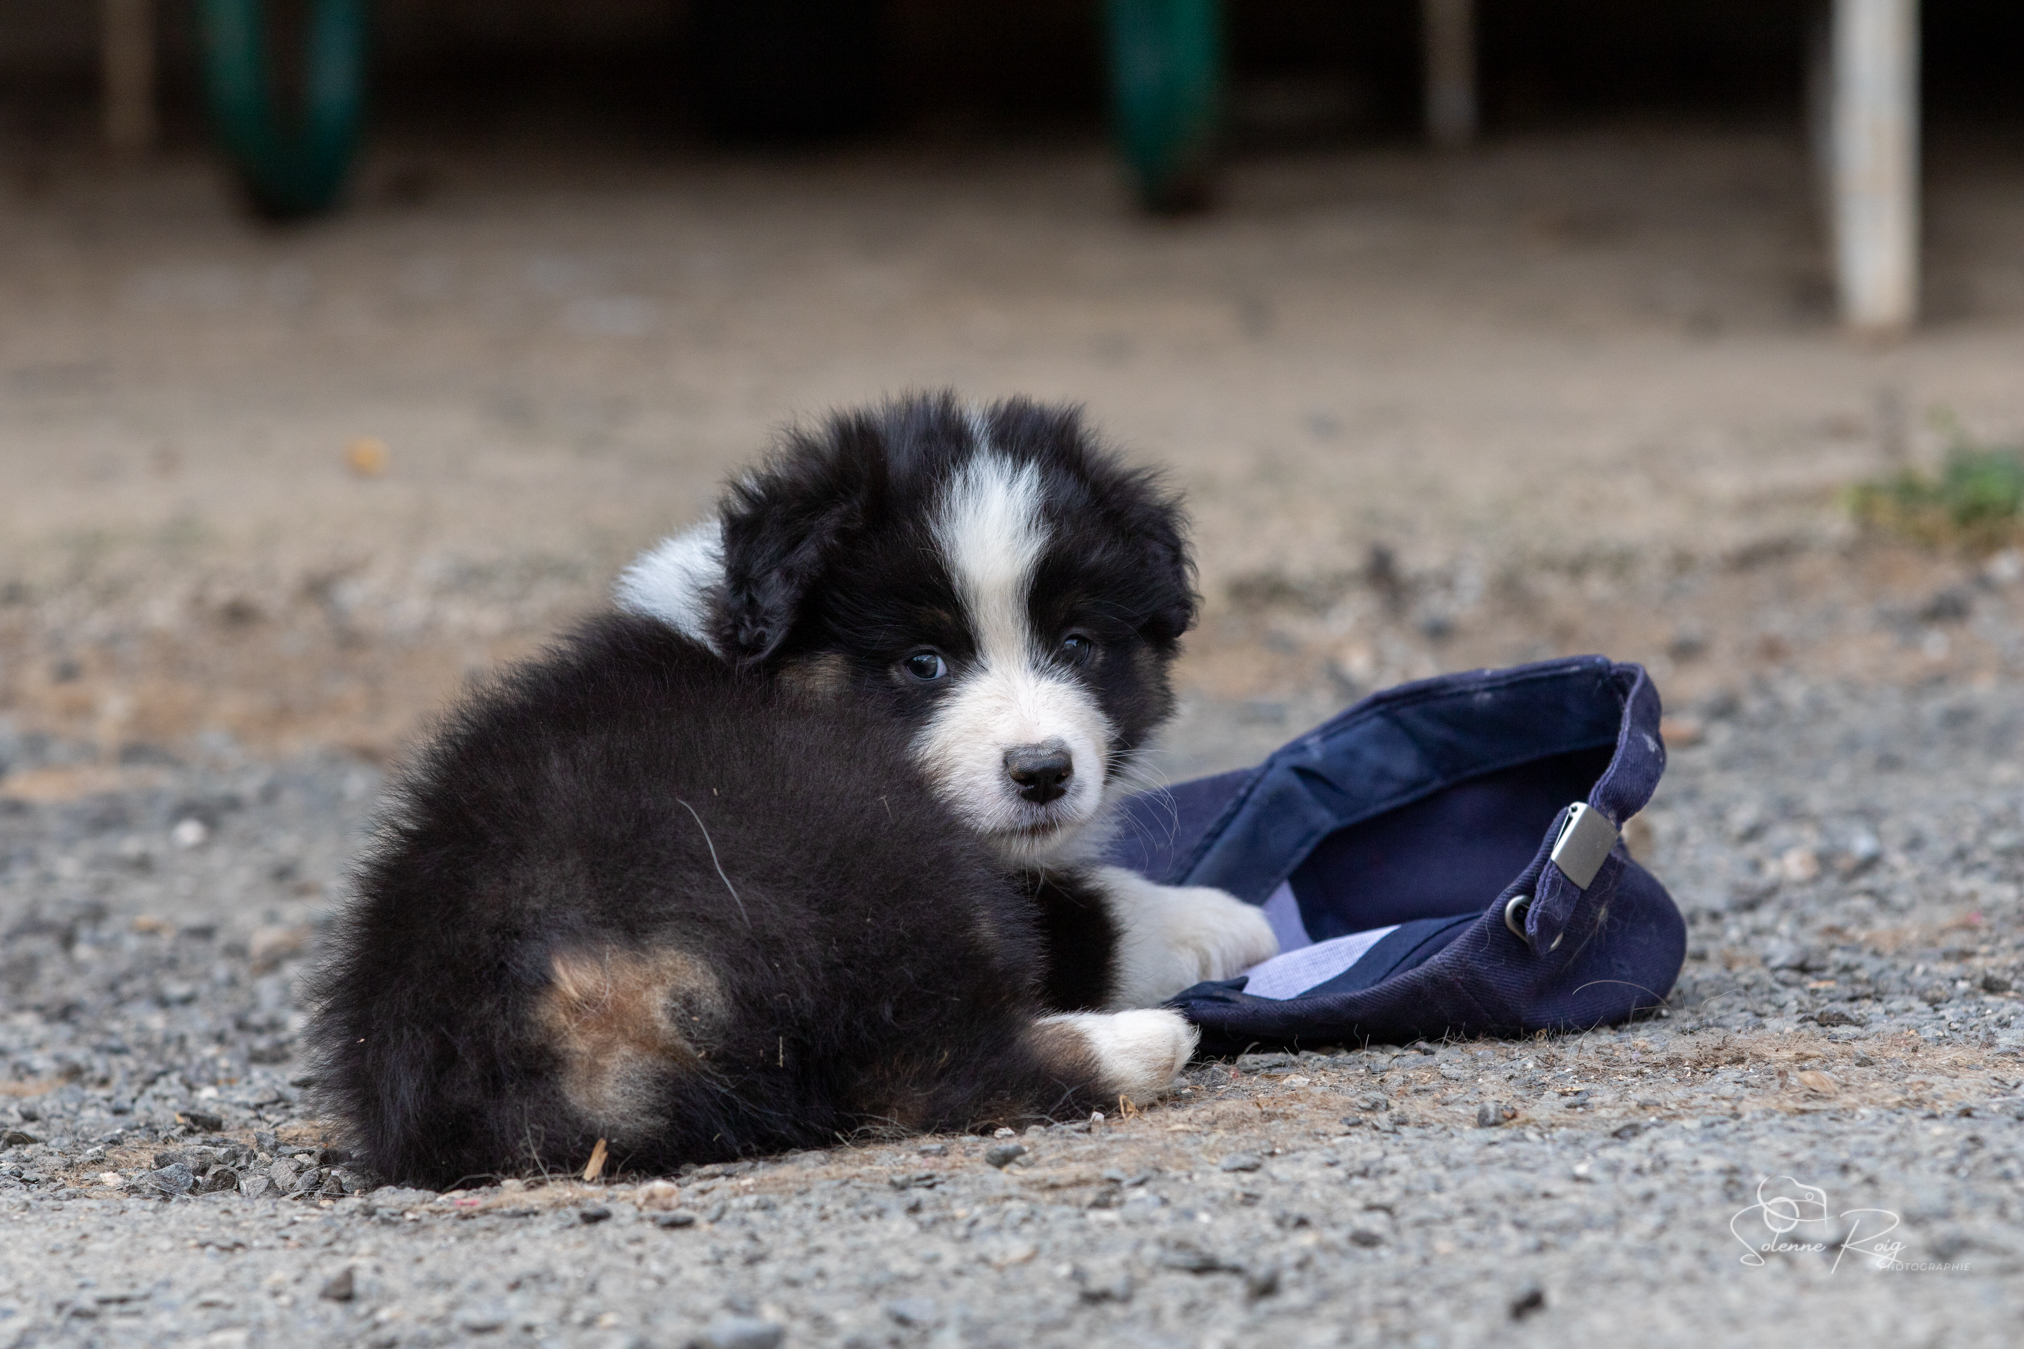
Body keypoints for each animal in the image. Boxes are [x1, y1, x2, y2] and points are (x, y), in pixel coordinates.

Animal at [309, 394, 1277, 1185]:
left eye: (1078, 643)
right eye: (922, 662)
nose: (1042, 770)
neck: (747, 655)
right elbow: (1090, 912)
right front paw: (1222, 919)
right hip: (871, 855)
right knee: (934, 1063)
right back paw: (1146, 1044)